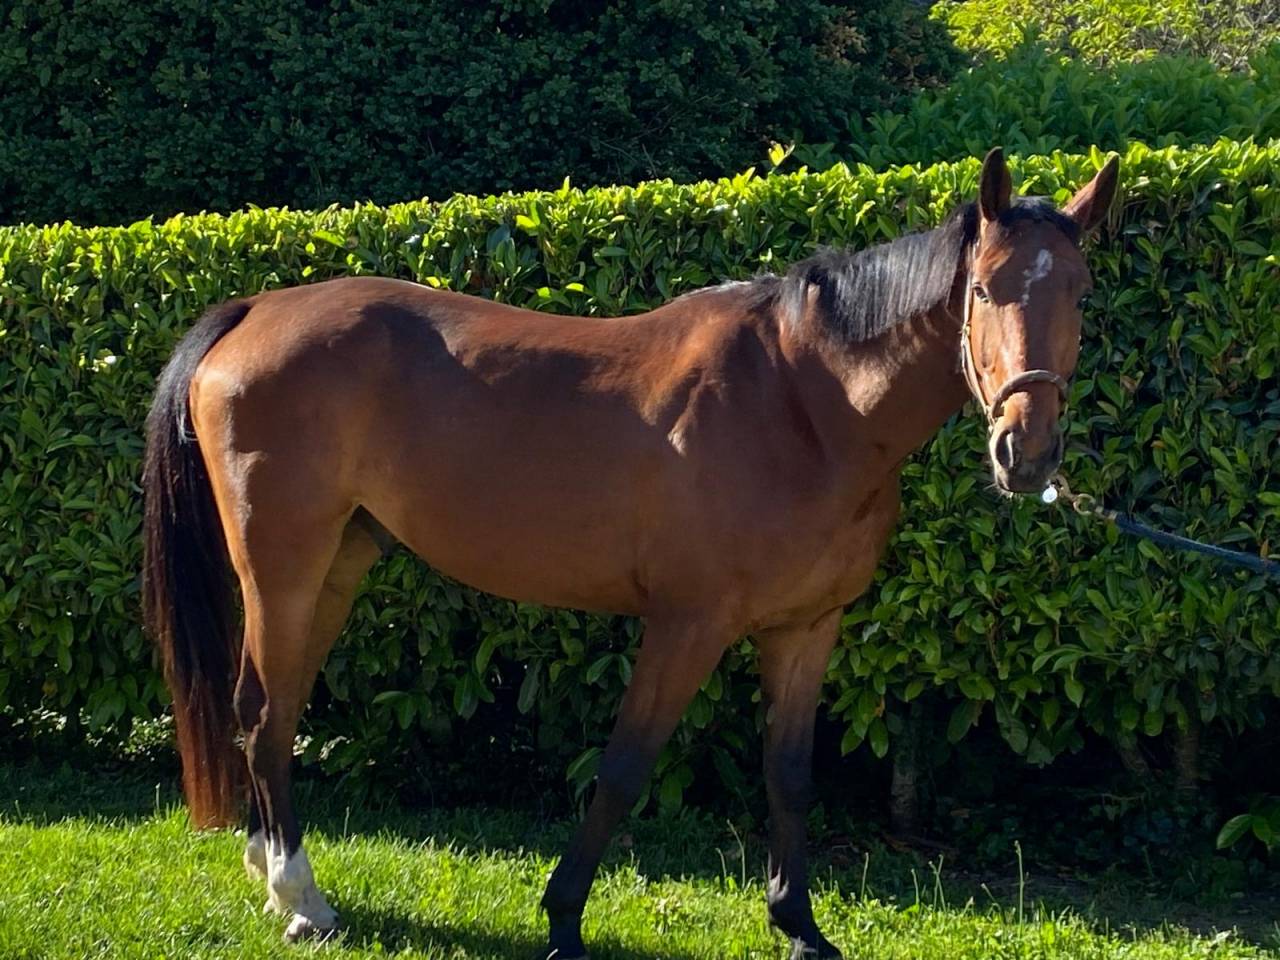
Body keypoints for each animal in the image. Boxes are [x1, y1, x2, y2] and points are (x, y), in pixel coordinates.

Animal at [142, 147, 1118, 958]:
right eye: (985, 289)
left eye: (1079, 291)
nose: (1028, 452)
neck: (806, 401)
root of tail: (255, 311)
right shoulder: (687, 625)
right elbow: (621, 769)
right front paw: (564, 922)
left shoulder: (805, 629)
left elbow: (789, 775)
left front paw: (799, 927)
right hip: (282, 566)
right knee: (265, 711)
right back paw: (302, 899)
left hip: (340, 561)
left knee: (276, 710)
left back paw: (274, 877)